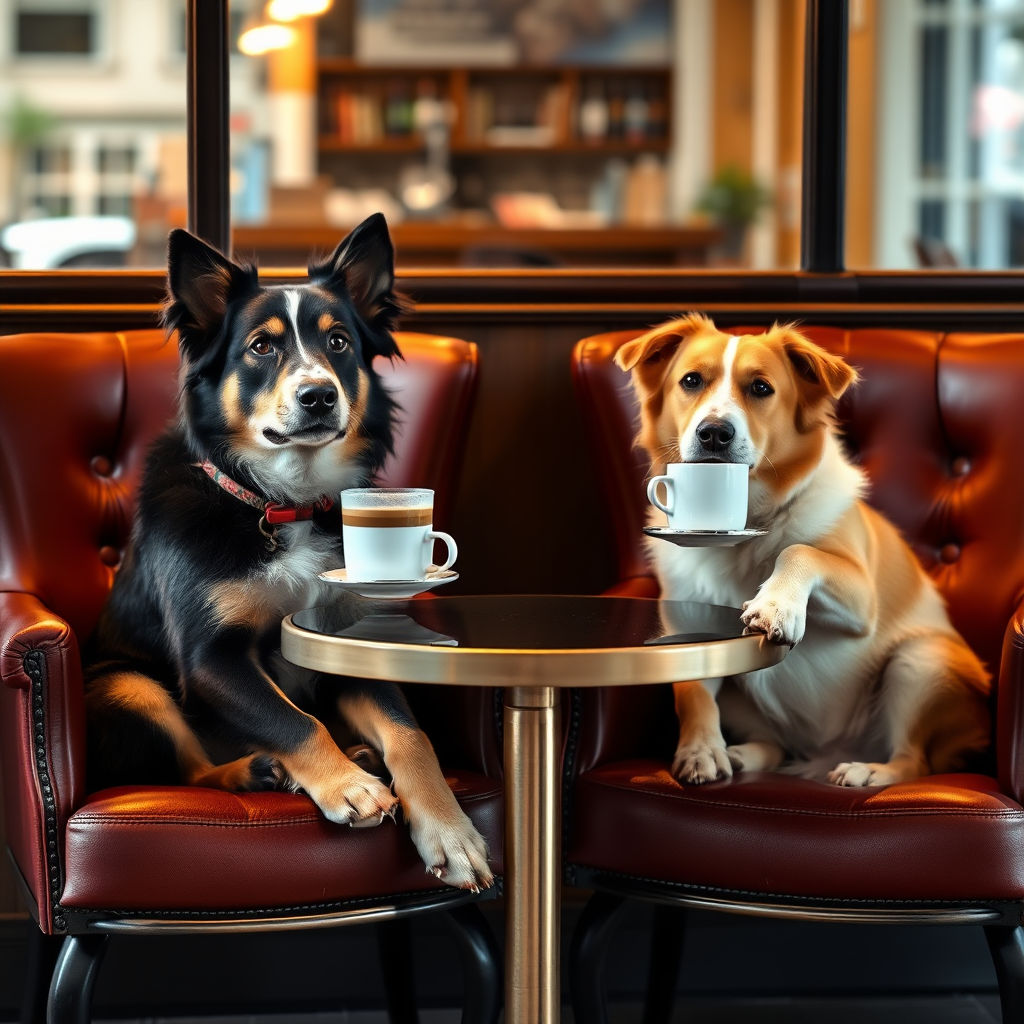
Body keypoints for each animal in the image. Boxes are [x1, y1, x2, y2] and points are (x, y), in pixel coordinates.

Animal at [83, 216, 491, 888]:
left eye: (339, 343)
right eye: (261, 348)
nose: (319, 395)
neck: (282, 504)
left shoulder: (353, 642)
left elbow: (411, 735)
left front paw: (450, 830)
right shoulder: (211, 658)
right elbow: (294, 721)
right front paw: (348, 785)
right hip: (126, 684)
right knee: (192, 768)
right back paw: (257, 770)